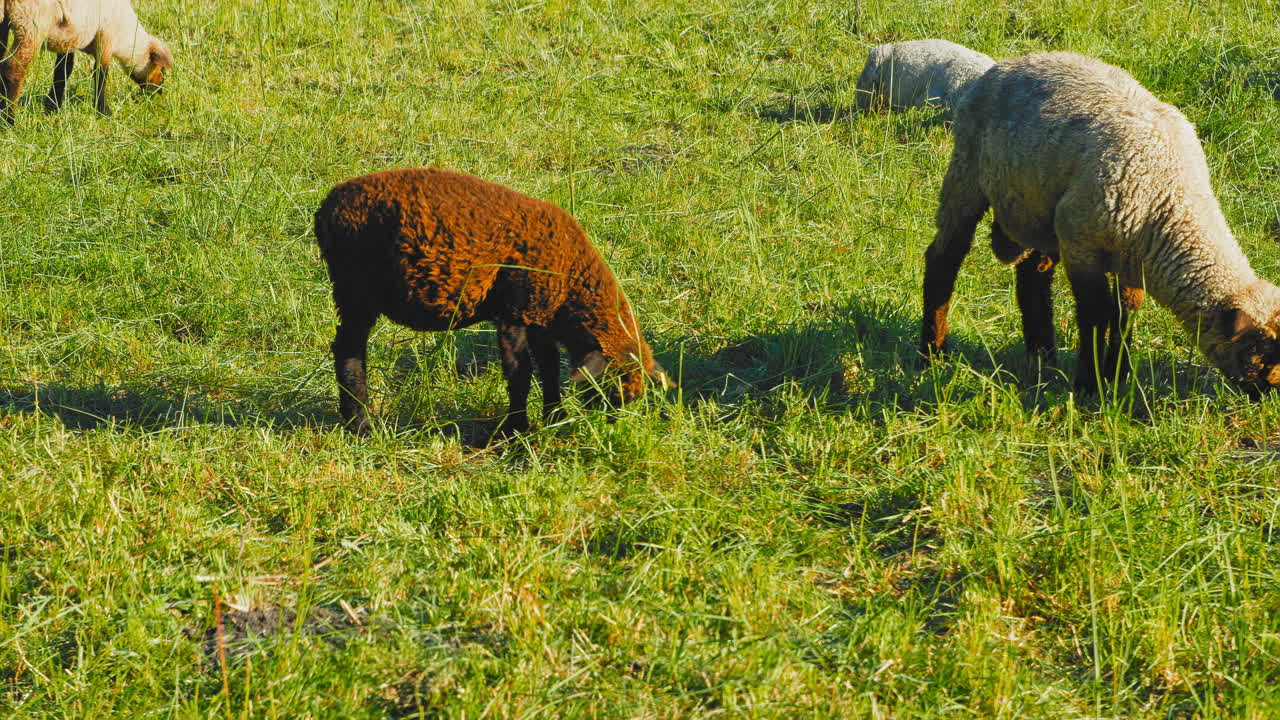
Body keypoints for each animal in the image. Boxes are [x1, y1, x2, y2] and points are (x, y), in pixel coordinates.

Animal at [0, 0, 173, 124]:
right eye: (161, 70)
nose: (160, 90)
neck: (126, 38)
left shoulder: (69, 38)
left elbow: (63, 71)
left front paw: (53, 107)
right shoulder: (106, 38)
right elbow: (100, 74)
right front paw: (104, 112)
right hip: (32, 23)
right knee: (12, 69)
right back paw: (9, 121)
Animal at [314, 167, 669, 437]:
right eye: (609, 391)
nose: (610, 429)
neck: (571, 280)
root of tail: (328, 206)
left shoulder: (538, 315)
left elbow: (550, 366)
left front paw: (553, 417)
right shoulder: (514, 314)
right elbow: (520, 375)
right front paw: (517, 430)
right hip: (355, 287)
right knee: (349, 352)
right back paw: (360, 425)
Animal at [920, 51, 1280, 397]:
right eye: (1258, 355)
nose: (1267, 395)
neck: (1171, 196)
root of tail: (1010, 63)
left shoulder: (1133, 260)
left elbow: (1125, 314)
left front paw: (1118, 375)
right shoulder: (1082, 245)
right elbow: (1095, 315)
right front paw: (1089, 385)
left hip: (1037, 209)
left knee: (1034, 275)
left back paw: (1043, 356)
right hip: (967, 172)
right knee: (944, 257)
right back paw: (933, 353)